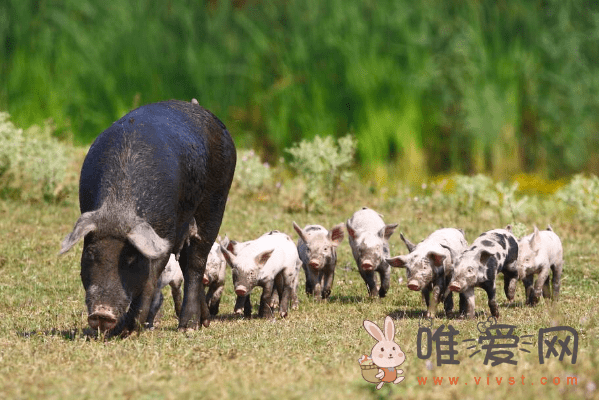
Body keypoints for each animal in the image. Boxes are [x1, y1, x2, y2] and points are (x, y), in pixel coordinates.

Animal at [59, 100, 237, 334]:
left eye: (130, 258)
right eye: (90, 255)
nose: (101, 314)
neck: (119, 209)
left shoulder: (163, 234)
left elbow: (150, 279)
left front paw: (130, 330)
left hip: (217, 200)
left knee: (196, 263)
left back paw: (188, 327)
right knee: (186, 261)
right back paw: (203, 322)